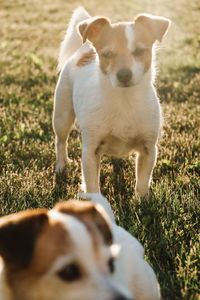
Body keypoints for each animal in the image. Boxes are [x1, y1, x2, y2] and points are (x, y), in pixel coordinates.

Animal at [52, 7, 170, 197]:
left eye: (139, 51)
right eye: (107, 54)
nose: (124, 74)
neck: (124, 99)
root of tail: (85, 49)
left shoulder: (148, 150)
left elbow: (142, 181)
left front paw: (142, 200)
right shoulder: (90, 152)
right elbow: (92, 185)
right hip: (62, 116)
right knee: (61, 141)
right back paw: (61, 165)